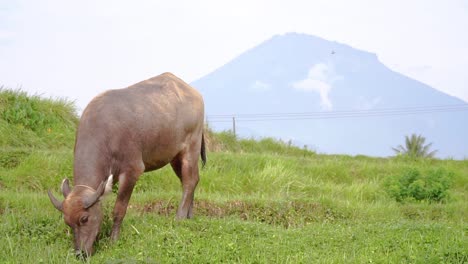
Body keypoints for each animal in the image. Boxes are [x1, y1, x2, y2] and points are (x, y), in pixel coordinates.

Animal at [47, 72, 205, 256]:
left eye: (84, 219)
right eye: (67, 222)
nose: (81, 253)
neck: (105, 133)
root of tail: (193, 93)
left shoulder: (131, 171)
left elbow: (119, 209)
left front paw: (113, 240)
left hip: (191, 148)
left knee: (189, 181)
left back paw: (179, 217)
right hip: (175, 156)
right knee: (190, 180)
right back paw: (189, 215)